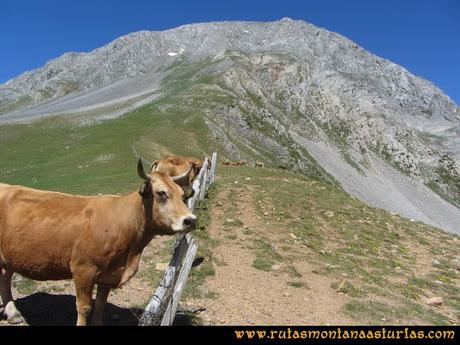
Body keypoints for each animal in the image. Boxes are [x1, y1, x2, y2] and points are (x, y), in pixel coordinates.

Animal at [0, 157, 196, 324]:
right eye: (161, 193)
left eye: (181, 194)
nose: (191, 220)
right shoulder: (82, 270)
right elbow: (84, 307)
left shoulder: (108, 274)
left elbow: (100, 305)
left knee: (5, 277)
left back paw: (12, 313)